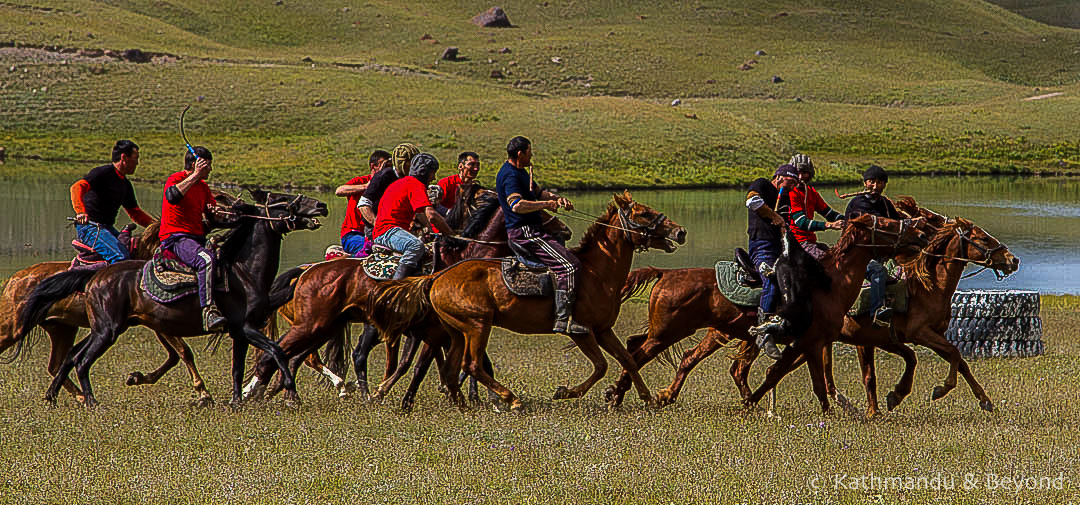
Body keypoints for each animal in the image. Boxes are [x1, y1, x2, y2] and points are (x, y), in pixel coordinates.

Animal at [239, 183, 570, 403]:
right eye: (540, 208)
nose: (565, 231)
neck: (462, 257)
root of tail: (308, 271)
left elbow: (438, 362)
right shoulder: (436, 330)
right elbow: (422, 363)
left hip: (324, 326)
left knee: (296, 355)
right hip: (315, 324)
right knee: (285, 352)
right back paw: (257, 391)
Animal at [371, 190, 686, 412]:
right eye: (643, 213)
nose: (679, 231)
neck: (596, 271)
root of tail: (437, 277)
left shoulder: (603, 330)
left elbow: (628, 360)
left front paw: (646, 398)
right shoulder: (581, 331)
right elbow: (601, 366)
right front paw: (566, 392)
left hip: (456, 331)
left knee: (451, 370)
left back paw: (462, 405)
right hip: (477, 326)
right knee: (471, 366)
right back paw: (510, 399)